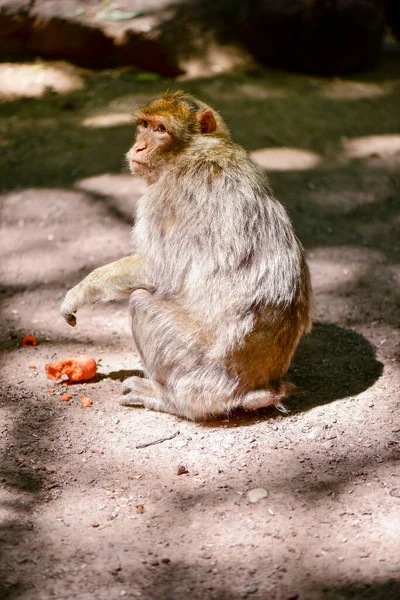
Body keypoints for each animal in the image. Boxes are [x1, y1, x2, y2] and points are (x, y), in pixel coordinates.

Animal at [61, 90, 312, 422]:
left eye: (161, 130)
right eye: (144, 125)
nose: (138, 146)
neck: (197, 148)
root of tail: (257, 389)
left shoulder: (165, 194)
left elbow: (159, 268)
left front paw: (81, 290)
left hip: (197, 369)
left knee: (140, 301)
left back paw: (168, 400)